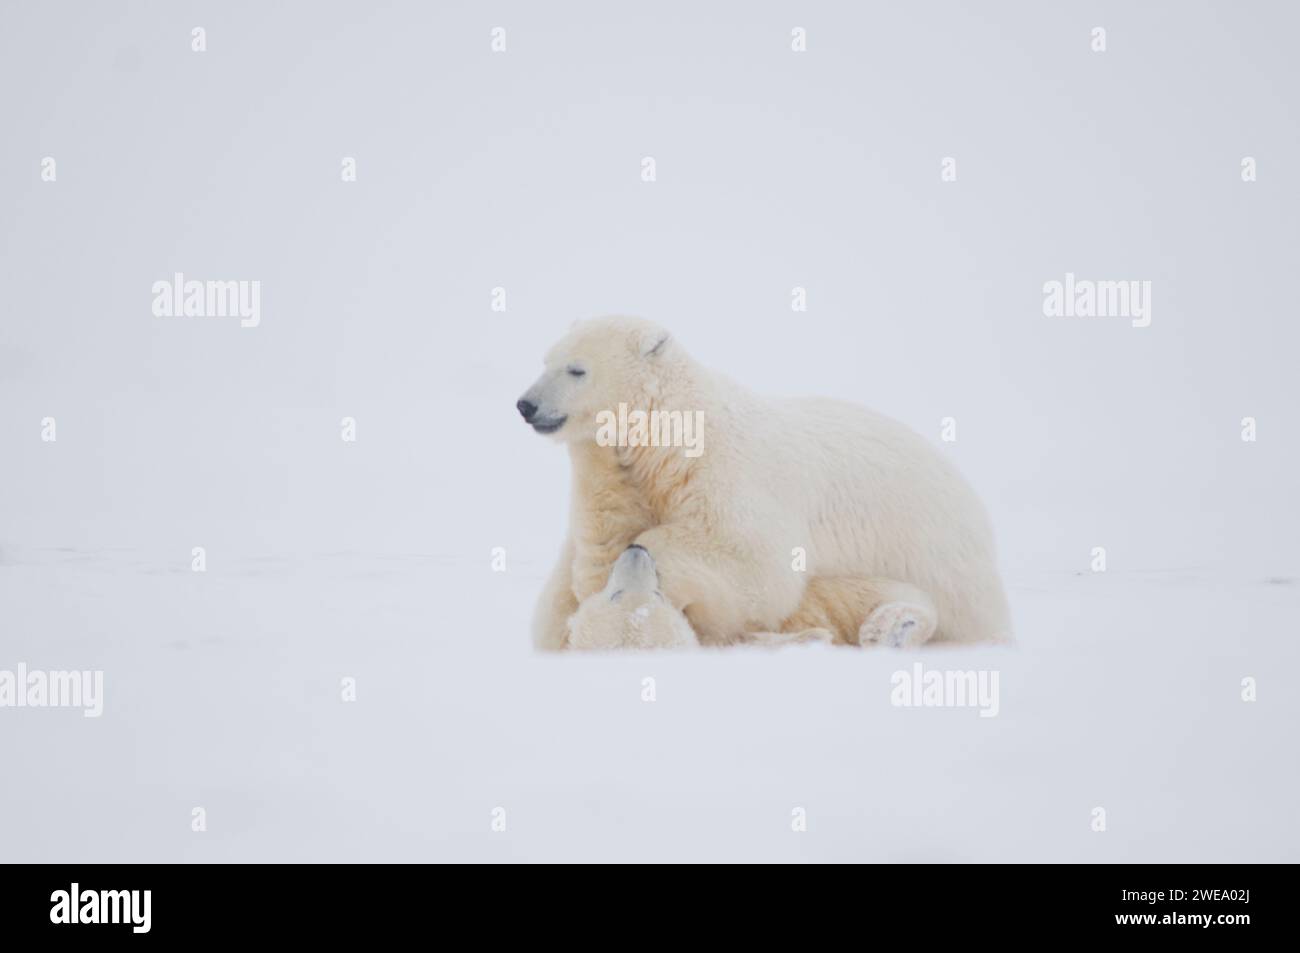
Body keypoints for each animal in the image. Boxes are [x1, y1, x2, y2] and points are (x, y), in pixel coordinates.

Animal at [520, 315, 1013, 650]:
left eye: (576, 369)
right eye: (544, 361)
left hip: (942, 566)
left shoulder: (730, 475)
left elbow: (752, 562)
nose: (526, 404)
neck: (674, 437)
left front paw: (652, 560)